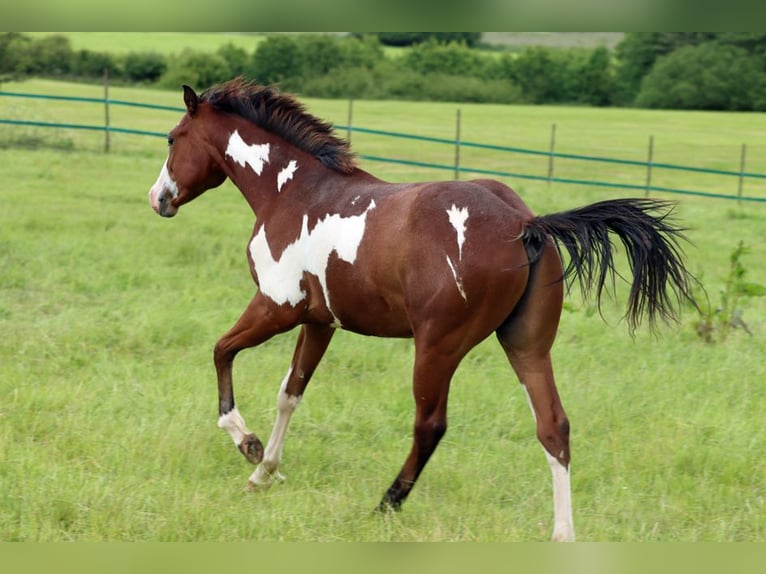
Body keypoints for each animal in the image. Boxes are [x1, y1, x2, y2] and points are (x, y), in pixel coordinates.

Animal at [147, 79, 700, 544]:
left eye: (173, 138)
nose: (158, 200)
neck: (293, 192)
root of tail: (525, 223)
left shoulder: (277, 307)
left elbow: (221, 352)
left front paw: (248, 445)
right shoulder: (321, 322)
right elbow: (290, 394)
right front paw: (263, 473)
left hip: (437, 346)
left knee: (430, 424)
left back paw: (386, 504)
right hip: (526, 344)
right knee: (554, 426)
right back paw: (562, 534)